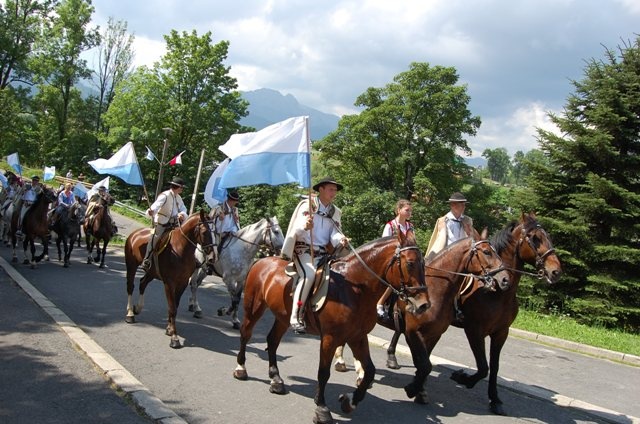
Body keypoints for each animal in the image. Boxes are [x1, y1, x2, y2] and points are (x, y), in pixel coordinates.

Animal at [122, 210, 215, 350]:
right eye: (204, 232)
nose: (211, 257)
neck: (180, 249)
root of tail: (135, 234)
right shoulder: (169, 283)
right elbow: (172, 308)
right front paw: (174, 338)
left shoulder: (182, 283)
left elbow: (175, 305)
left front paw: (169, 329)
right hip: (131, 266)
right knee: (130, 287)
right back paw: (130, 314)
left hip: (152, 272)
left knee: (142, 283)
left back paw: (138, 308)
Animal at [232, 232, 432, 424]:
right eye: (410, 263)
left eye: (424, 264)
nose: (424, 305)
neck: (355, 288)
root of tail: (262, 261)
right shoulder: (330, 338)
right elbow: (323, 373)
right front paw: (322, 409)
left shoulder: (357, 337)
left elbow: (370, 371)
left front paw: (349, 401)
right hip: (254, 308)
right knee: (245, 334)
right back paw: (241, 368)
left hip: (283, 318)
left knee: (272, 341)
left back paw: (276, 380)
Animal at [336, 232, 510, 404]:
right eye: (487, 252)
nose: (505, 278)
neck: (437, 289)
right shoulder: (413, 332)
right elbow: (424, 365)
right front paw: (412, 388)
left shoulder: (434, 334)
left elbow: (425, 364)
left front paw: (420, 390)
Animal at [448, 212, 564, 414]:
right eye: (535, 238)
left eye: (548, 236)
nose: (555, 271)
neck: (498, 292)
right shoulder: (474, 330)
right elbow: (483, 367)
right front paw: (463, 378)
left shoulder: (501, 333)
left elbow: (494, 367)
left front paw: (495, 399)